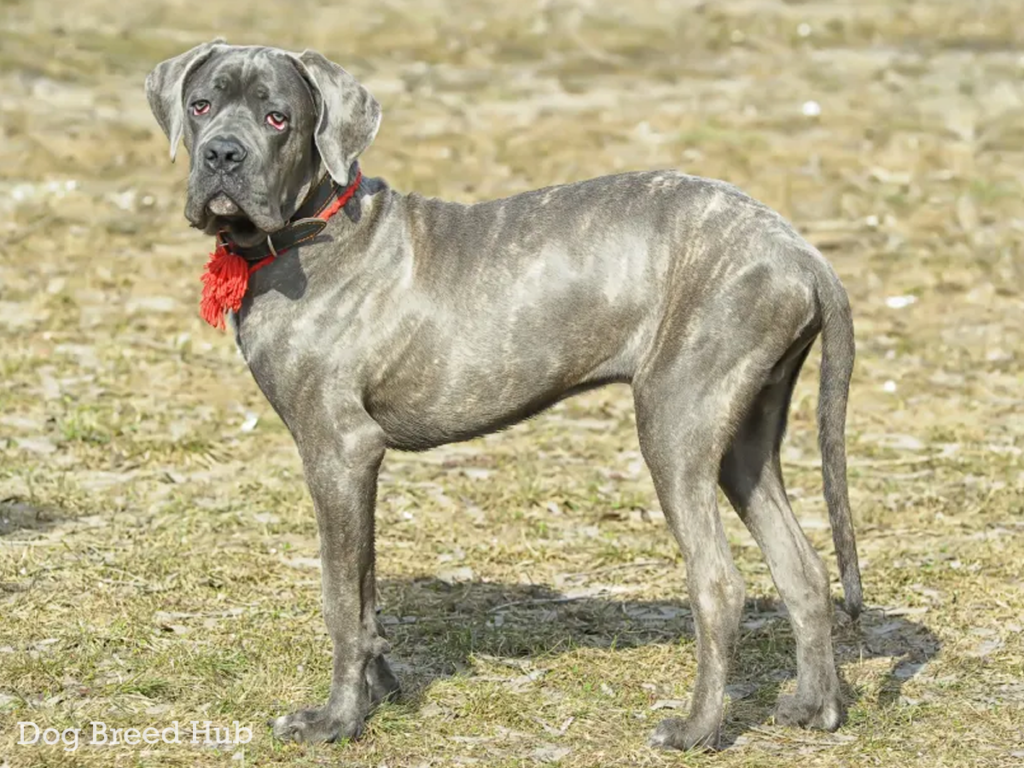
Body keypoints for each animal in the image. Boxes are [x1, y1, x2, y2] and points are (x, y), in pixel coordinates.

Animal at [146, 40, 864, 753]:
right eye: (201, 104)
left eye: (277, 118)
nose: (221, 155)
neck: (311, 230)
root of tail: (803, 254)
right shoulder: (356, 467)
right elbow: (367, 589)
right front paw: (381, 693)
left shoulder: (337, 449)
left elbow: (339, 598)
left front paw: (337, 721)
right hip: (744, 438)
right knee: (802, 570)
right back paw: (815, 709)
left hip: (675, 423)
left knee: (719, 584)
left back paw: (696, 729)